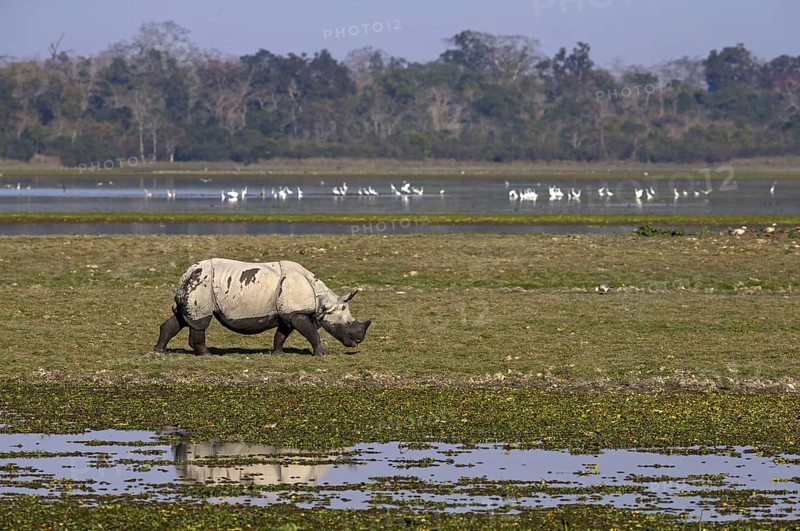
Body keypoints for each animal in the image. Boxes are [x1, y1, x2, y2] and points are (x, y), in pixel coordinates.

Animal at [153, 259, 371, 356]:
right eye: (348, 326)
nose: (359, 341)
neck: (323, 302)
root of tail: (185, 274)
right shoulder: (296, 312)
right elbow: (311, 333)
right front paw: (320, 354)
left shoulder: (288, 312)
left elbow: (282, 333)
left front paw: (278, 353)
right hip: (202, 285)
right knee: (200, 321)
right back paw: (207, 355)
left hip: (193, 286)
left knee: (181, 318)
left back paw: (159, 351)